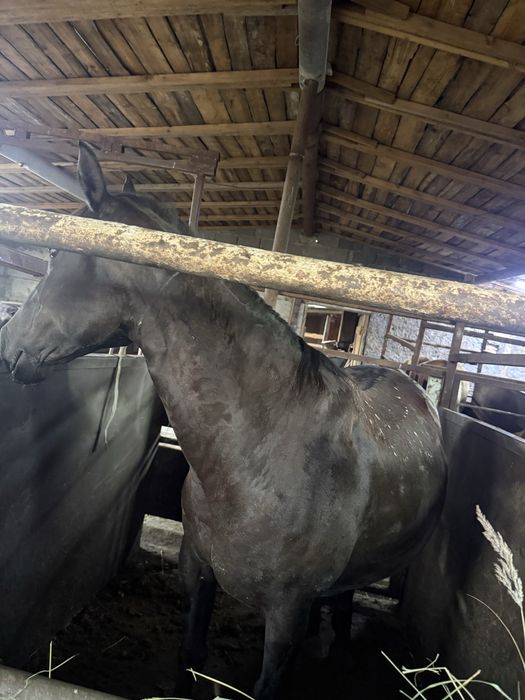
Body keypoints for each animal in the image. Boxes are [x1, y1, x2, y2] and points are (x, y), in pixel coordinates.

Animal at [0, 143, 447, 700]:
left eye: (55, 254)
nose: (7, 341)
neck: (260, 452)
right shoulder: (198, 570)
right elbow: (191, 656)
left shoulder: (286, 618)